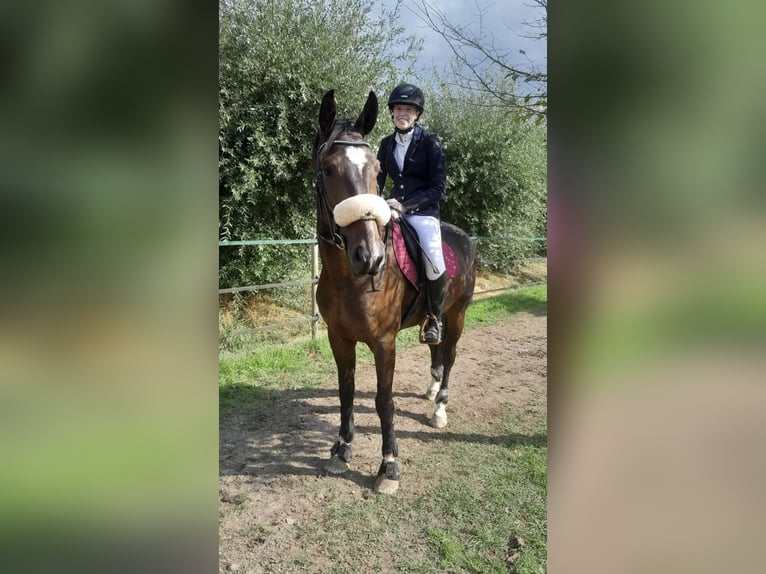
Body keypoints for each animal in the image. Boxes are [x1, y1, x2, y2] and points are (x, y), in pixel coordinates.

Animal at [312, 89, 477, 494]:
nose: (369, 257)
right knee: (436, 348)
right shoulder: (338, 337)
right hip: (437, 316)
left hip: (458, 315)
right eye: (328, 169)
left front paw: (388, 466)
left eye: (375, 169)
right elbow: (346, 391)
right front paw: (341, 450)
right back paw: (431, 389)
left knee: (450, 356)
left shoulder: (384, 343)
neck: (349, 279)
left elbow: (383, 400)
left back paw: (439, 407)